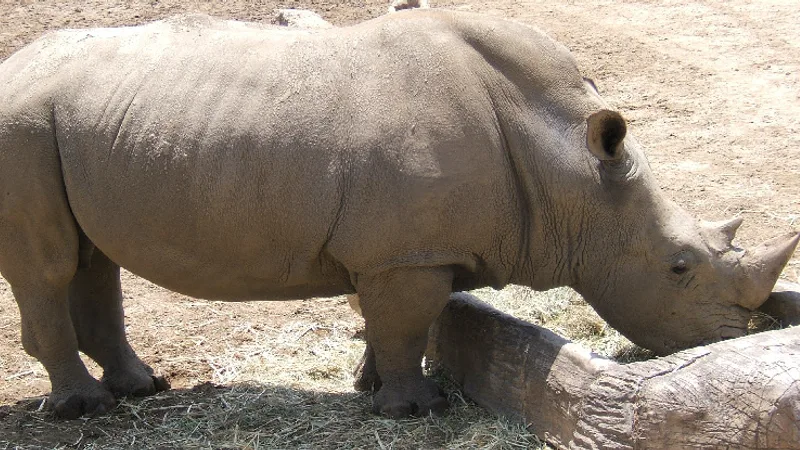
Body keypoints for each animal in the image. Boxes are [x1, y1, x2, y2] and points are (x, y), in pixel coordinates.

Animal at [0, 10, 796, 419]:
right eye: (679, 267)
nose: (732, 337)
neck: (568, 169)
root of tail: (13, 68)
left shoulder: (400, 249)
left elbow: (392, 322)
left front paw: (372, 389)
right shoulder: (405, 252)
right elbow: (408, 321)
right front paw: (417, 411)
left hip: (66, 127)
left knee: (92, 258)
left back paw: (141, 389)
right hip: (21, 127)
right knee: (47, 268)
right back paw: (82, 411)